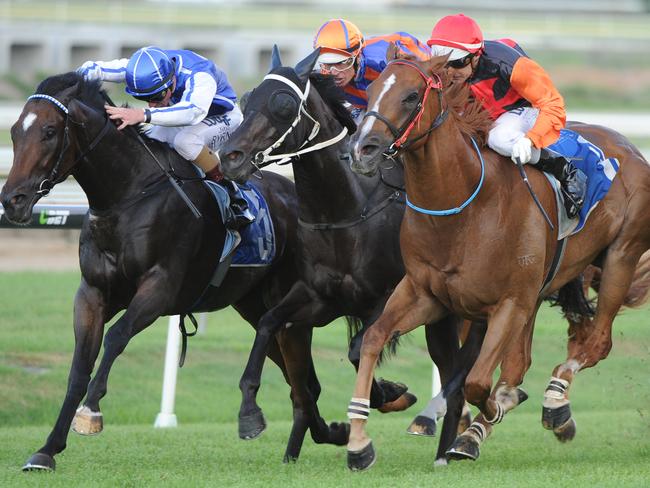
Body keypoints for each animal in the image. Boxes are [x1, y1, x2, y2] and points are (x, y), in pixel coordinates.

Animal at [0, 72, 312, 472]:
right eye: (14, 131)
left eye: (50, 131)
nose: (12, 201)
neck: (127, 195)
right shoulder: (92, 292)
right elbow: (79, 365)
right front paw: (47, 449)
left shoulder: (159, 288)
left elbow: (116, 337)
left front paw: (90, 412)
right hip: (254, 305)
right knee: (300, 378)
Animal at [220, 47, 484, 464]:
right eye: (247, 100)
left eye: (283, 104)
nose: (230, 156)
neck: (345, 211)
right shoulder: (317, 297)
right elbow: (268, 324)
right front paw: (249, 413)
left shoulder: (385, 297)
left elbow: (359, 349)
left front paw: (389, 394)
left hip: (443, 317)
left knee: (455, 380)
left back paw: (446, 448)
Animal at [344, 55, 648, 470]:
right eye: (371, 89)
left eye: (411, 96)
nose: (363, 149)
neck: (465, 208)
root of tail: (630, 148)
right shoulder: (426, 293)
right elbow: (373, 339)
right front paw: (359, 442)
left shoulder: (508, 304)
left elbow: (476, 382)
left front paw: (480, 421)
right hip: (547, 287)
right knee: (525, 361)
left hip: (620, 255)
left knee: (597, 343)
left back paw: (553, 400)